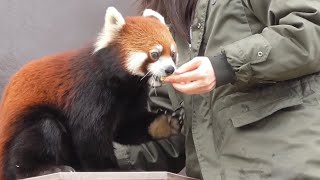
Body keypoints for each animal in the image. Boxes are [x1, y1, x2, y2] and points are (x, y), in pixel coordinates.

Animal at [0, 7, 180, 180]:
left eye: (172, 54)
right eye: (155, 54)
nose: (170, 69)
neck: (125, 85)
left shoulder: (131, 97)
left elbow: (127, 125)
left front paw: (163, 123)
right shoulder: (90, 91)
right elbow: (90, 133)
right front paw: (109, 169)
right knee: (42, 129)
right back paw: (43, 169)